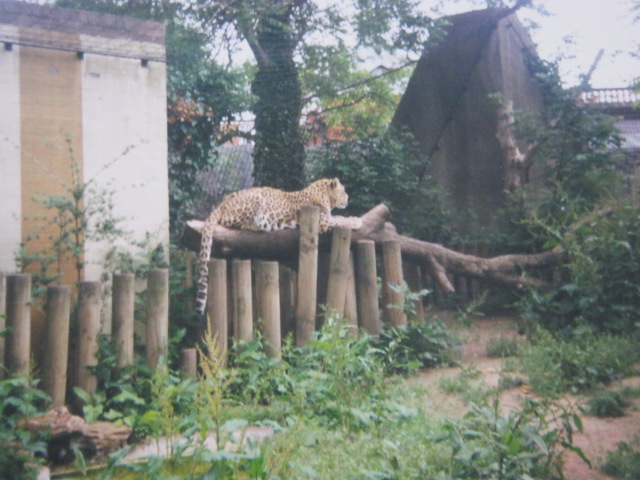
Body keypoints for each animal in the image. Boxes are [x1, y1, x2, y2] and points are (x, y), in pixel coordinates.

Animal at [195, 178, 362, 315]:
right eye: (344, 191)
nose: (348, 198)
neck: (324, 196)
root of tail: (221, 203)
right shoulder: (323, 222)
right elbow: (340, 221)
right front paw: (357, 220)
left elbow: (339, 217)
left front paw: (353, 217)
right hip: (256, 199)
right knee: (235, 224)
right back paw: (256, 226)